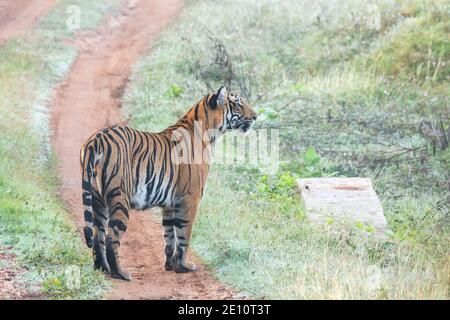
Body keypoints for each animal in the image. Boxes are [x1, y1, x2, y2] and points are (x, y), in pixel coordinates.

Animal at [79, 86, 258, 278]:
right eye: (238, 103)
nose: (255, 116)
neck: (209, 132)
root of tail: (96, 139)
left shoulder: (169, 203)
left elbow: (169, 236)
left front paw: (170, 265)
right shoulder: (190, 198)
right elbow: (184, 235)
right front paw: (184, 266)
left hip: (97, 200)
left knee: (98, 237)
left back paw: (102, 269)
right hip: (119, 197)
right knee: (111, 238)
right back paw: (121, 274)